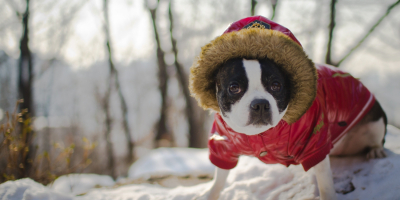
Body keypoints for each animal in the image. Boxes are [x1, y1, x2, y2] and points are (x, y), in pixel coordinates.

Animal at [191, 16, 388, 200]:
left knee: (377, 138)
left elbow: (325, 183)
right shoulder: (223, 144)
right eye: (234, 88)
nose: (260, 104)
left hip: (375, 121)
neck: (260, 135)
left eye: (276, 85)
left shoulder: (315, 143)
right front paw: (209, 195)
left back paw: (376, 150)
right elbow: (219, 179)